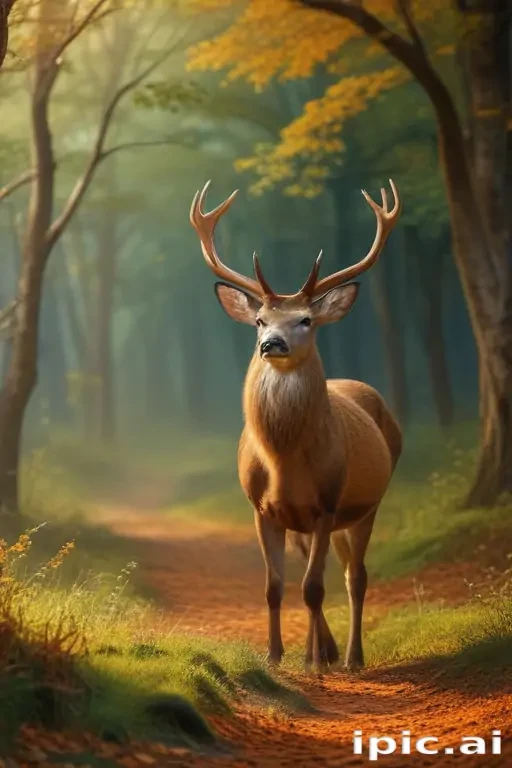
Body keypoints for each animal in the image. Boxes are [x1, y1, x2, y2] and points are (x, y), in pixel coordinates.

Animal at [189, 180, 403, 673]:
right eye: (259, 319)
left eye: (305, 319)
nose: (271, 343)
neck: (283, 462)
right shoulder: (260, 507)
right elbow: (274, 588)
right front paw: (275, 655)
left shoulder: (326, 503)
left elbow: (312, 587)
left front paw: (317, 665)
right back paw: (319, 649)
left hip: (366, 505)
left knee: (354, 576)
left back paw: (349, 657)